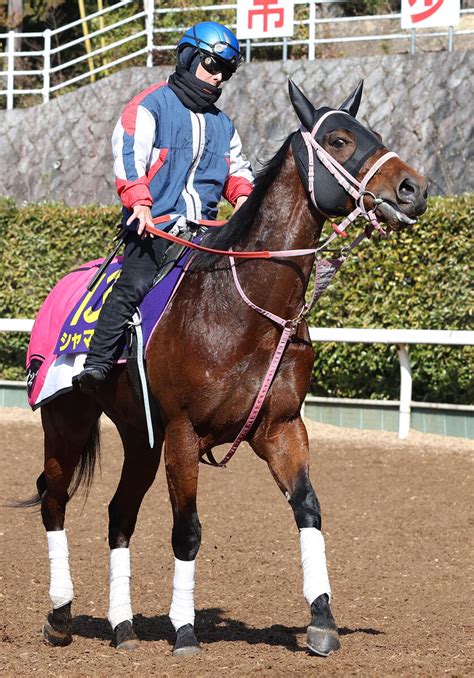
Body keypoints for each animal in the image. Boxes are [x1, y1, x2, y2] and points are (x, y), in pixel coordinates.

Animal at [29, 79, 430, 660]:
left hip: (139, 437)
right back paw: (60, 615)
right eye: (338, 139)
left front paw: (322, 621)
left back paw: (123, 627)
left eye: (373, 132)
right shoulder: (182, 432)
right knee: (54, 498)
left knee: (119, 514)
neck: (243, 309)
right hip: (67, 419)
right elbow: (187, 531)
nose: (412, 189)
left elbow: (308, 509)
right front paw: (185, 631)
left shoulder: (281, 428)